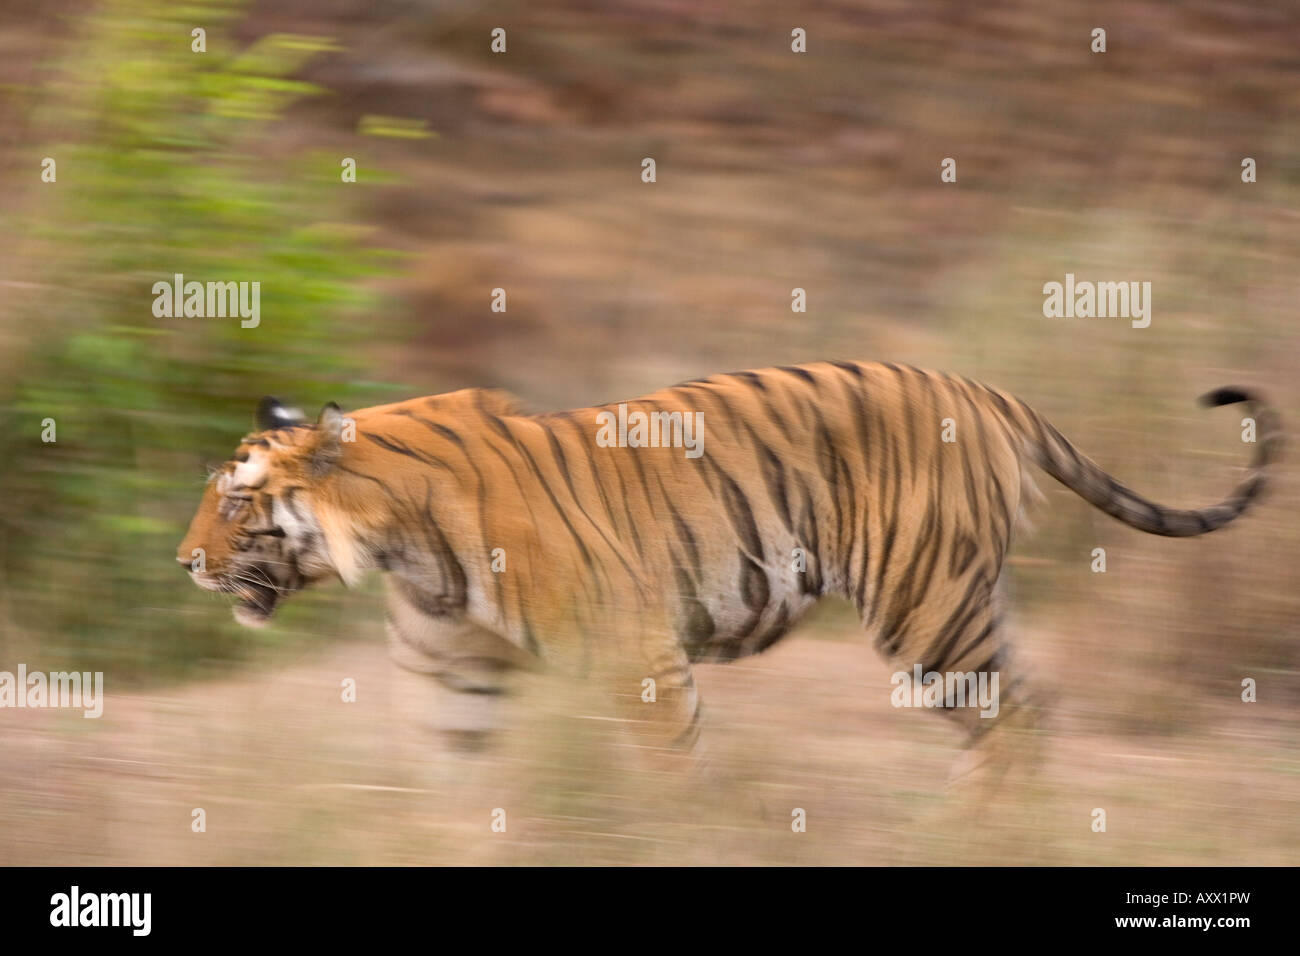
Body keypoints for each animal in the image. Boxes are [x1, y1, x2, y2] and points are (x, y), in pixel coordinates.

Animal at [175, 361, 1279, 775]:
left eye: (235, 502)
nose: (184, 561)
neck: (404, 547)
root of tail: (984, 386)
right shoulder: (457, 682)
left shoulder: (639, 661)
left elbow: (672, 780)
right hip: (964, 607)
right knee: (1027, 718)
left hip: (928, 615)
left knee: (1016, 727)